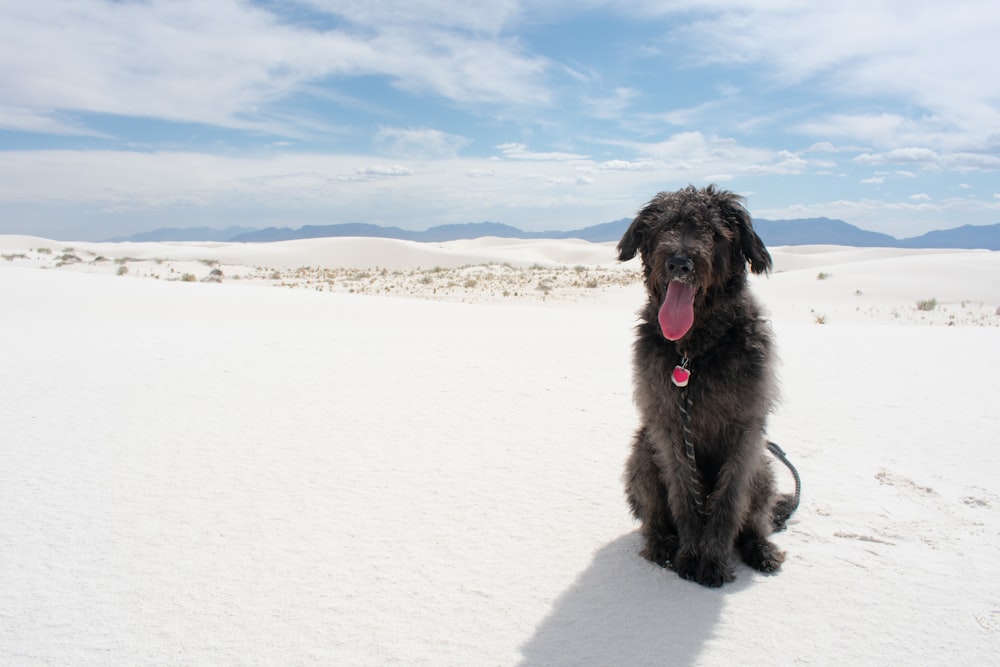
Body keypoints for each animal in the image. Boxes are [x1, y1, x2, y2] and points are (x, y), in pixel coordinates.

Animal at [612, 185, 792, 588]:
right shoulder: (669, 430)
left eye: (715, 232)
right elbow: (685, 496)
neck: (692, 354)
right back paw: (661, 544)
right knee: (653, 515)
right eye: (662, 226)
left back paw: (760, 549)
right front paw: (691, 555)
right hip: (642, 455)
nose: (679, 263)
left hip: (764, 468)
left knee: (757, 519)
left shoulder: (746, 432)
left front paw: (712, 561)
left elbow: (727, 501)